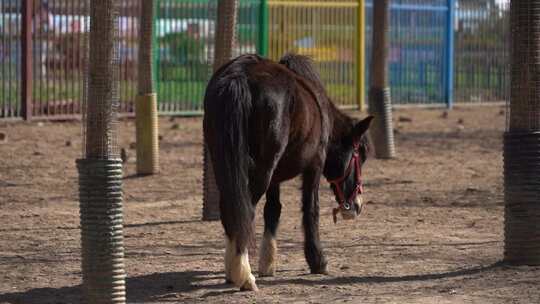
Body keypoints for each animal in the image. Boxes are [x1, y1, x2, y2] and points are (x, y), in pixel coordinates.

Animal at [202, 53, 372, 290]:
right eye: (360, 155)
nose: (356, 205)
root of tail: (239, 75)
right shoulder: (314, 166)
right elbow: (311, 210)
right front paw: (318, 261)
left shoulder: (275, 177)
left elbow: (273, 210)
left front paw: (268, 263)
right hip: (260, 170)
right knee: (245, 211)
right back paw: (245, 275)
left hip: (225, 164)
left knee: (231, 210)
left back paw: (233, 271)